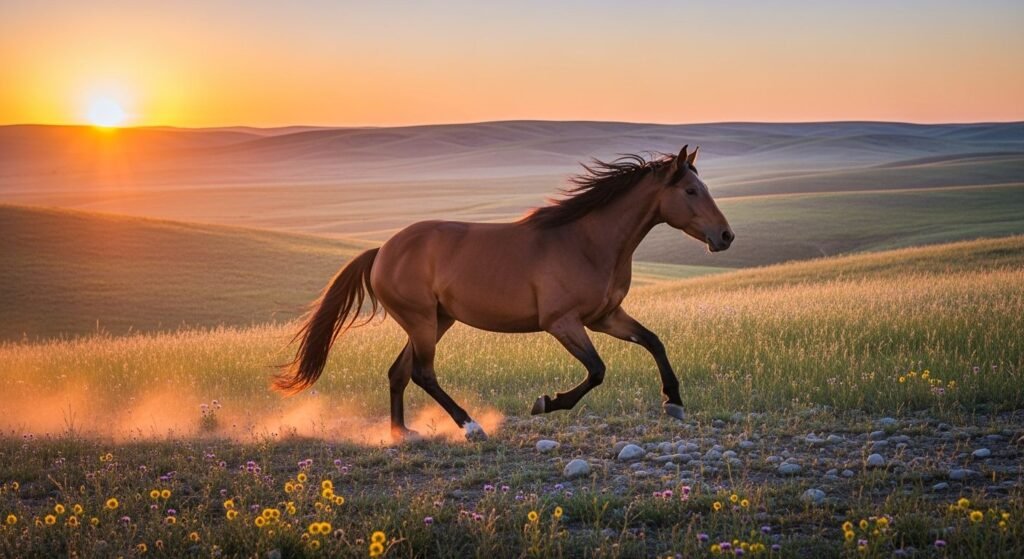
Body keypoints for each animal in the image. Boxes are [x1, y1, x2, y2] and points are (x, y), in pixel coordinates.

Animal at [274, 145, 734, 442]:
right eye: (691, 191)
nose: (725, 236)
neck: (587, 241)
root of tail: (382, 251)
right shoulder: (562, 323)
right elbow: (597, 370)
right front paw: (545, 402)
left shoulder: (605, 317)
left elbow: (654, 341)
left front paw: (674, 402)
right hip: (422, 321)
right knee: (422, 373)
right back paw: (471, 426)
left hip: (437, 320)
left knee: (398, 372)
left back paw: (401, 433)